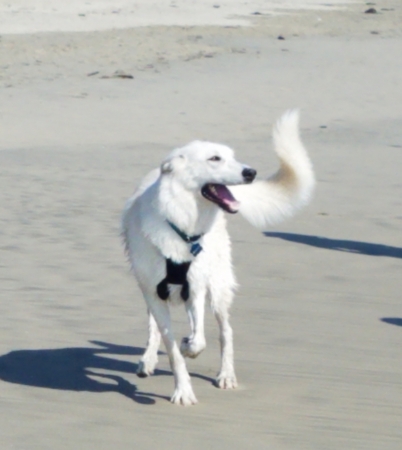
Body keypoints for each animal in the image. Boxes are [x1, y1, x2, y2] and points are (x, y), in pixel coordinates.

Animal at [121, 110, 316, 406]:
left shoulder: (196, 288)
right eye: (214, 158)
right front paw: (183, 389)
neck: (182, 227)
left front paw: (189, 349)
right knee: (155, 326)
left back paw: (226, 375)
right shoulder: (154, 292)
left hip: (218, 288)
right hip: (153, 291)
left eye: (232, 156)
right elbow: (171, 347)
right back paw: (148, 360)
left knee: (226, 332)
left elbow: (198, 340)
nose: (251, 172)